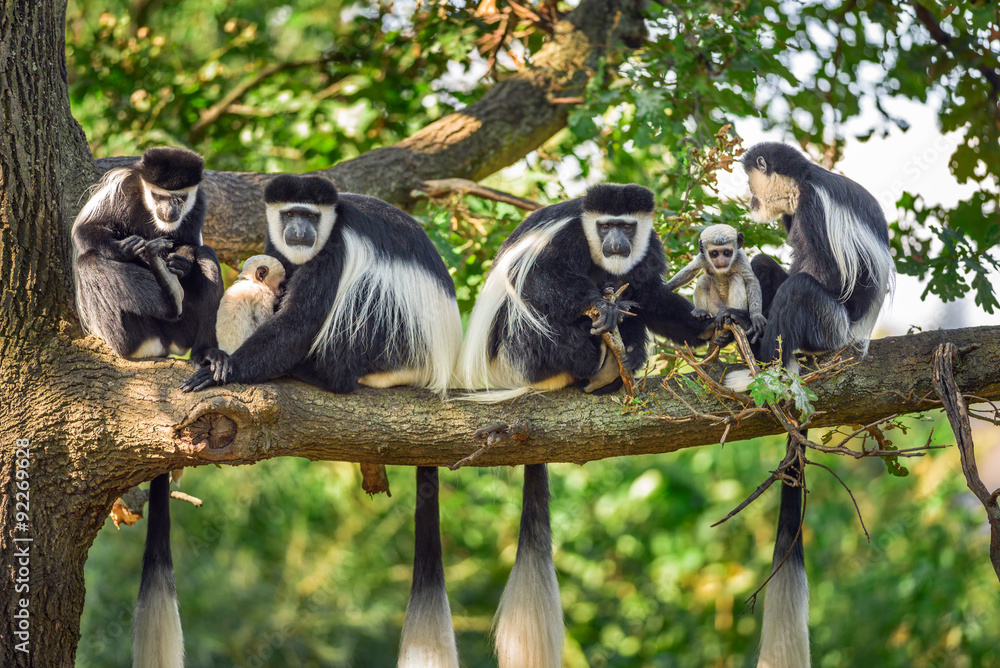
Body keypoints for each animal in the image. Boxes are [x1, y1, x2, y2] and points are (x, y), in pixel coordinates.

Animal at [72, 146, 224, 364]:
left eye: (180, 198)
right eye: (159, 196)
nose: (170, 210)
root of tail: (164, 344)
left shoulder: (198, 204)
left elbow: (192, 244)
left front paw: (181, 262)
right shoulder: (120, 188)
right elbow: (85, 229)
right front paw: (124, 249)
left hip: (183, 330)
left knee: (206, 253)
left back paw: (205, 352)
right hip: (136, 333)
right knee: (88, 262)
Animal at [180, 174, 462, 668]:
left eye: (310, 216)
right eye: (290, 214)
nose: (300, 230)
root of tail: (438, 368)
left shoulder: (336, 251)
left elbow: (299, 321)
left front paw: (223, 368)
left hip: (395, 340)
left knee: (363, 298)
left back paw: (320, 372)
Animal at [455, 183, 714, 668]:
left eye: (626, 226)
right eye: (605, 225)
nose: (615, 243)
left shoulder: (648, 250)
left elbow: (650, 294)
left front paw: (710, 327)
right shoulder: (566, 240)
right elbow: (539, 281)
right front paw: (599, 305)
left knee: (633, 306)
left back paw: (617, 364)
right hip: (523, 354)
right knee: (536, 312)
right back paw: (597, 356)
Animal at [729, 142, 894, 668]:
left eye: (750, 181)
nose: (749, 201)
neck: (803, 184)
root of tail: (856, 339)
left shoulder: (817, 212)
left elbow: (833, 276)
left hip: (830, 327)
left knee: (804, 290)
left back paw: (764, 368)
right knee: (766, 267)